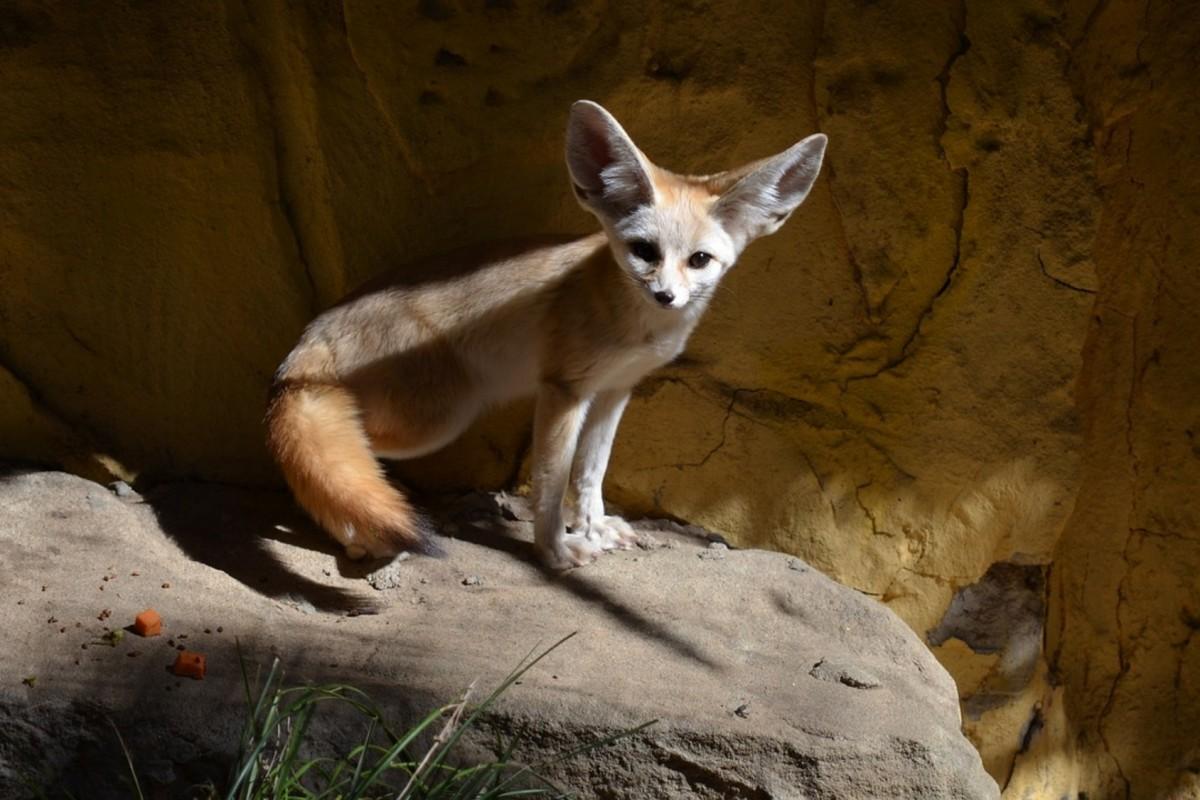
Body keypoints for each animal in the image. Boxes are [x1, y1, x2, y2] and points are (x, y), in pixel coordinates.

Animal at [265, 101, 825, 568]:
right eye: (644, 251)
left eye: (699, 260)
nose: (666, 295)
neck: (635, 325)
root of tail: (310, 335)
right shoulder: (564, 391)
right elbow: (553, 485)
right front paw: (555, 549)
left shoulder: (615, 390)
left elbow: (592, 471)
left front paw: (594, 527)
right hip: (437, 420)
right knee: (339, 451)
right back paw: (360, 535)